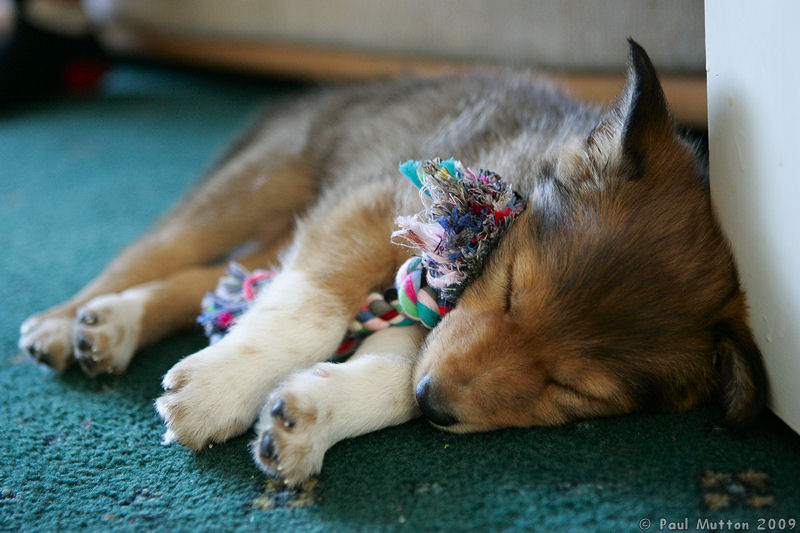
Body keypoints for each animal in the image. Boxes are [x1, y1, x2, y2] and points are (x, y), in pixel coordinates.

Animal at [20, 39, 768, 484]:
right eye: (511, 289)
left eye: (574, 390)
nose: (434, 402)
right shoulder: (375, 207)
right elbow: (312, 312)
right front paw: (213, 393)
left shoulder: (424, 316)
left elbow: (388, 369)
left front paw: (306, 417)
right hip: (261, 184)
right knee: (153, 252)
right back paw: (63, 326)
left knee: (213, 277)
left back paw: (113, 325)